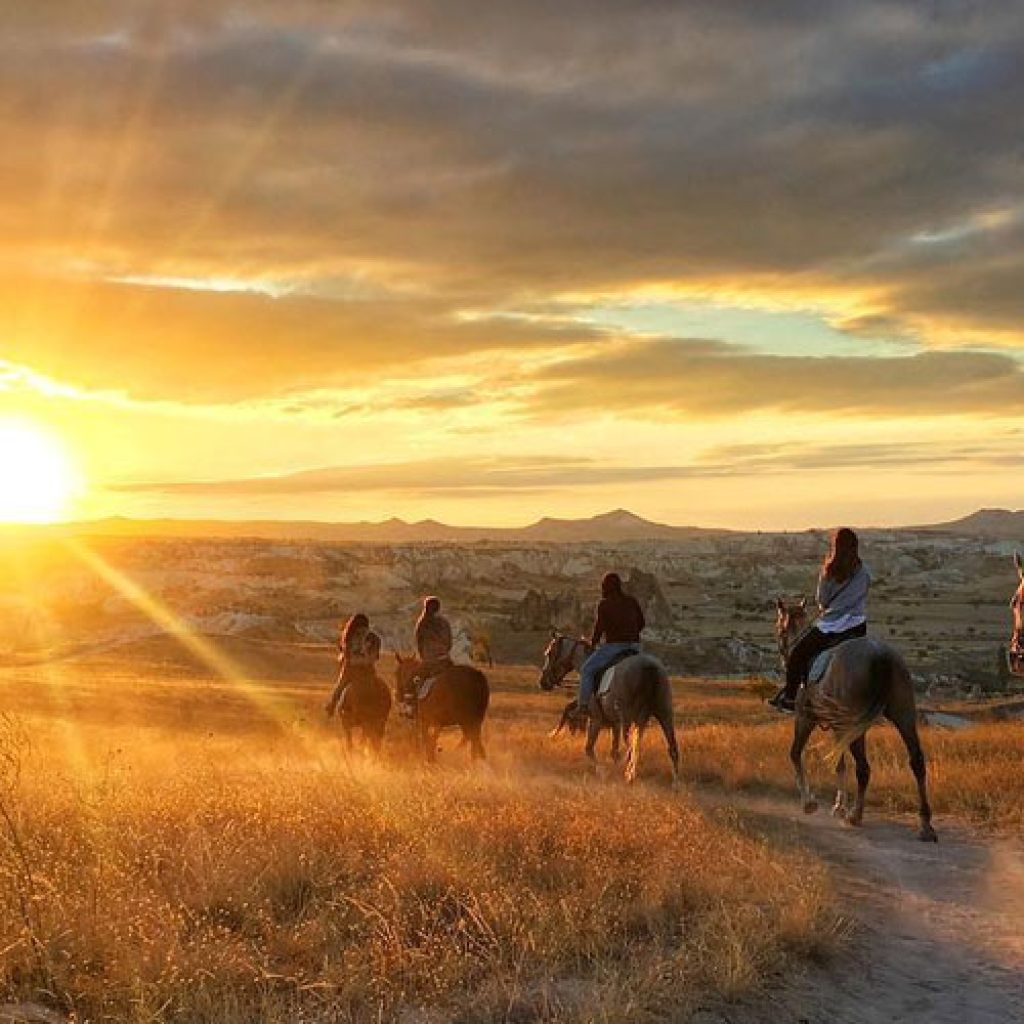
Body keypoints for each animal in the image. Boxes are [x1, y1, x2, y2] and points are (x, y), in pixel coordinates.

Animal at [536, 630, 679, 782]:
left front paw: (602, 772)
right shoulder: (614, 723)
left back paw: (629, 775)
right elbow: (614, 752)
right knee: (670, 748)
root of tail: (649, 666)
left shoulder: (596, 720)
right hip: (664, 715)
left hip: (628, 719)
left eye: (549, 653)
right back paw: (674, 781)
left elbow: (589, 749)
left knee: (631, 748)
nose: (543, 682)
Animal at [774, 598, 937, 839]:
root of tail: (880, 656)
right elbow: (840, 764)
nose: (783, 658)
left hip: (852, 722)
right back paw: (925, 825)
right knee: (916, 761)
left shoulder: (805, 718)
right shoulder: (837, 727)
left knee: (863, 768)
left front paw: (809, 803)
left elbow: (795, 753)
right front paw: (838, 806)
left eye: (780, 630)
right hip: (903, 716)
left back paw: (856, 816)